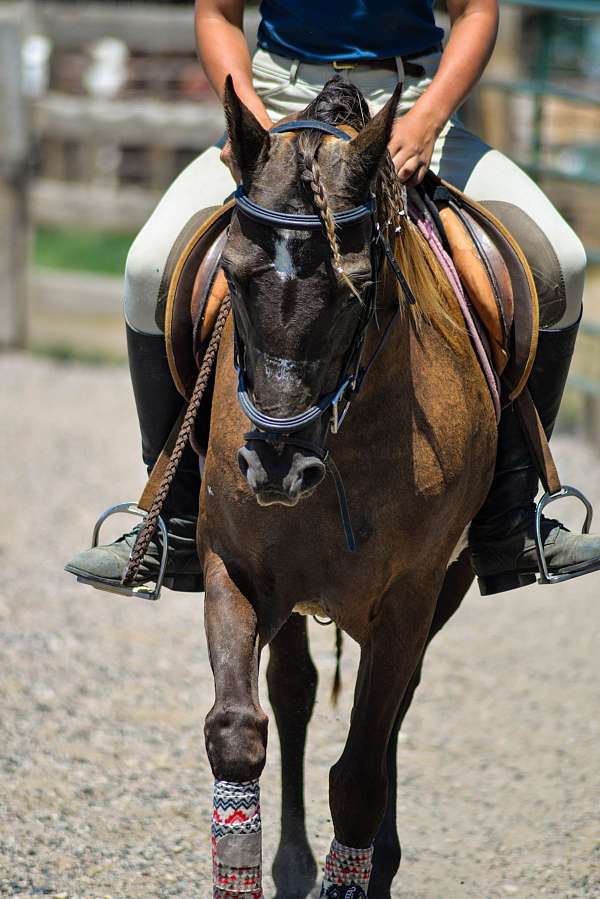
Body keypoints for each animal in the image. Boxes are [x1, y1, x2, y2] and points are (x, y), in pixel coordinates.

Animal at [199, 79, 494, 899]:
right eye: (233, 273)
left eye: (355, 290)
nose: (275, 467)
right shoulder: (232, 566)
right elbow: (238, 731)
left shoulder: (410, 597)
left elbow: (361, 773)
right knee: (296, 690)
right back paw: (295, 863)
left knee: (392, 710)